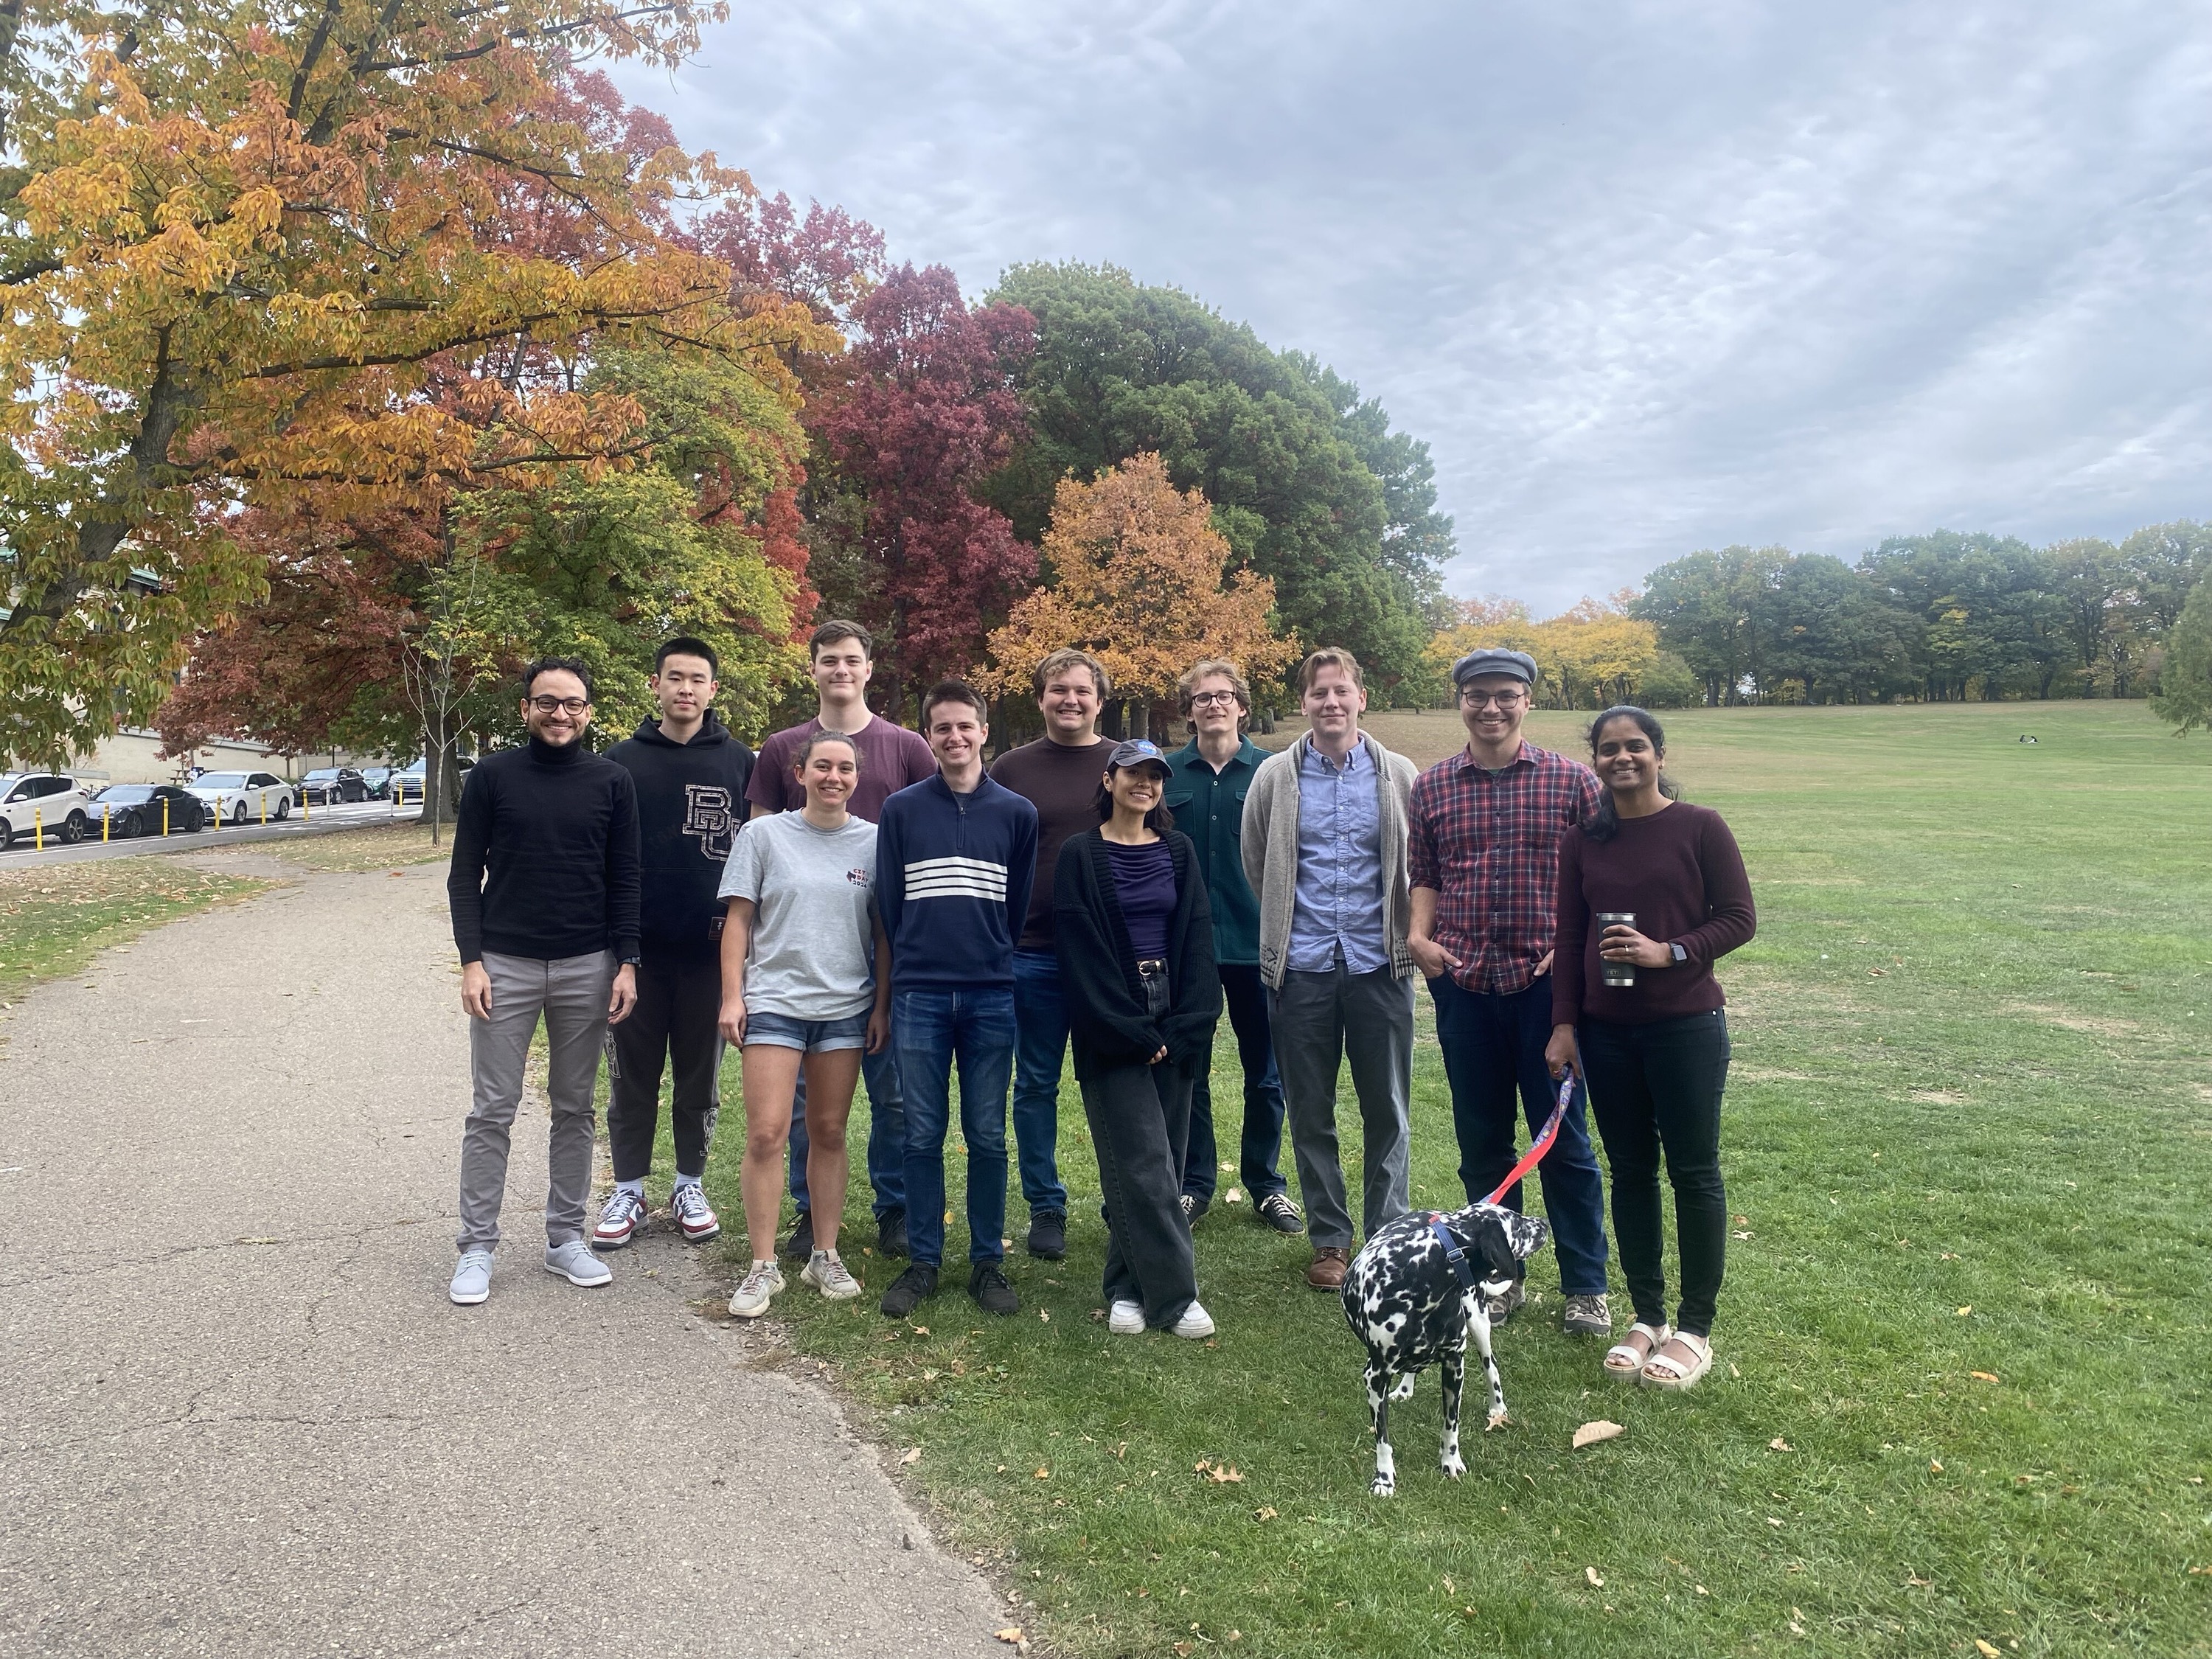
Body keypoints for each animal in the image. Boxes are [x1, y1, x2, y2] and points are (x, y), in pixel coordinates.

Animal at [1336, 1203, 1548, 1504]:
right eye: (1517, 1224)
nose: (1544, 1223)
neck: (1425, 1275)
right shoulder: (1375, 1378)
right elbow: (1383, 1440)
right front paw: (1384, 1478)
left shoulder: (1454, 1366)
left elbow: (1451, 1426)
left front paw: (1450, 1461)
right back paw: (1405, 1389)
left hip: (1479, 1323)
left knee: (1491, 1367)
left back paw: (1497, 1409)